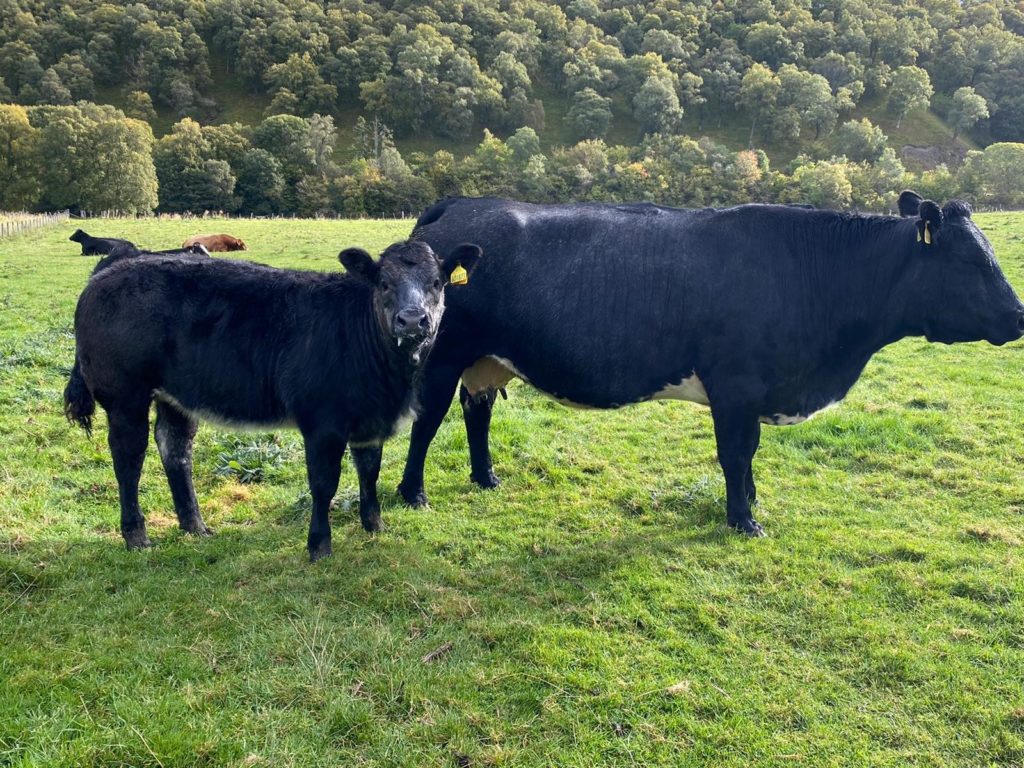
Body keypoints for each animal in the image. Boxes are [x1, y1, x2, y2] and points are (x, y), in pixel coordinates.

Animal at [62, 240, 479, 561]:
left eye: (437, 282)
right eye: (385, 282)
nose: (413, 320)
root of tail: (110, 269)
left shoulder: (369, 420)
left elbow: (369, 473)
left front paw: (374, 525)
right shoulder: (323, 423)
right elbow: (324, 484)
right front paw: (319, 546)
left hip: (175, 396)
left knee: (174, 448)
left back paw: (195, 526)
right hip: (125, 397)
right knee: (128, 460)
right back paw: (137, 536)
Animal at [399, 195, 1024, 536]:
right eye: (972, 260)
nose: (1019, 316)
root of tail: (463, 204)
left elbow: (748, 458)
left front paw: (750, 503)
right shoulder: (737, 387)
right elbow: (736, 455)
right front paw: (743, 520)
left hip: (487, 359)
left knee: (477, 412)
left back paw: (486, 478)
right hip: (442, 352)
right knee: (429, 421)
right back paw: (412, 495)